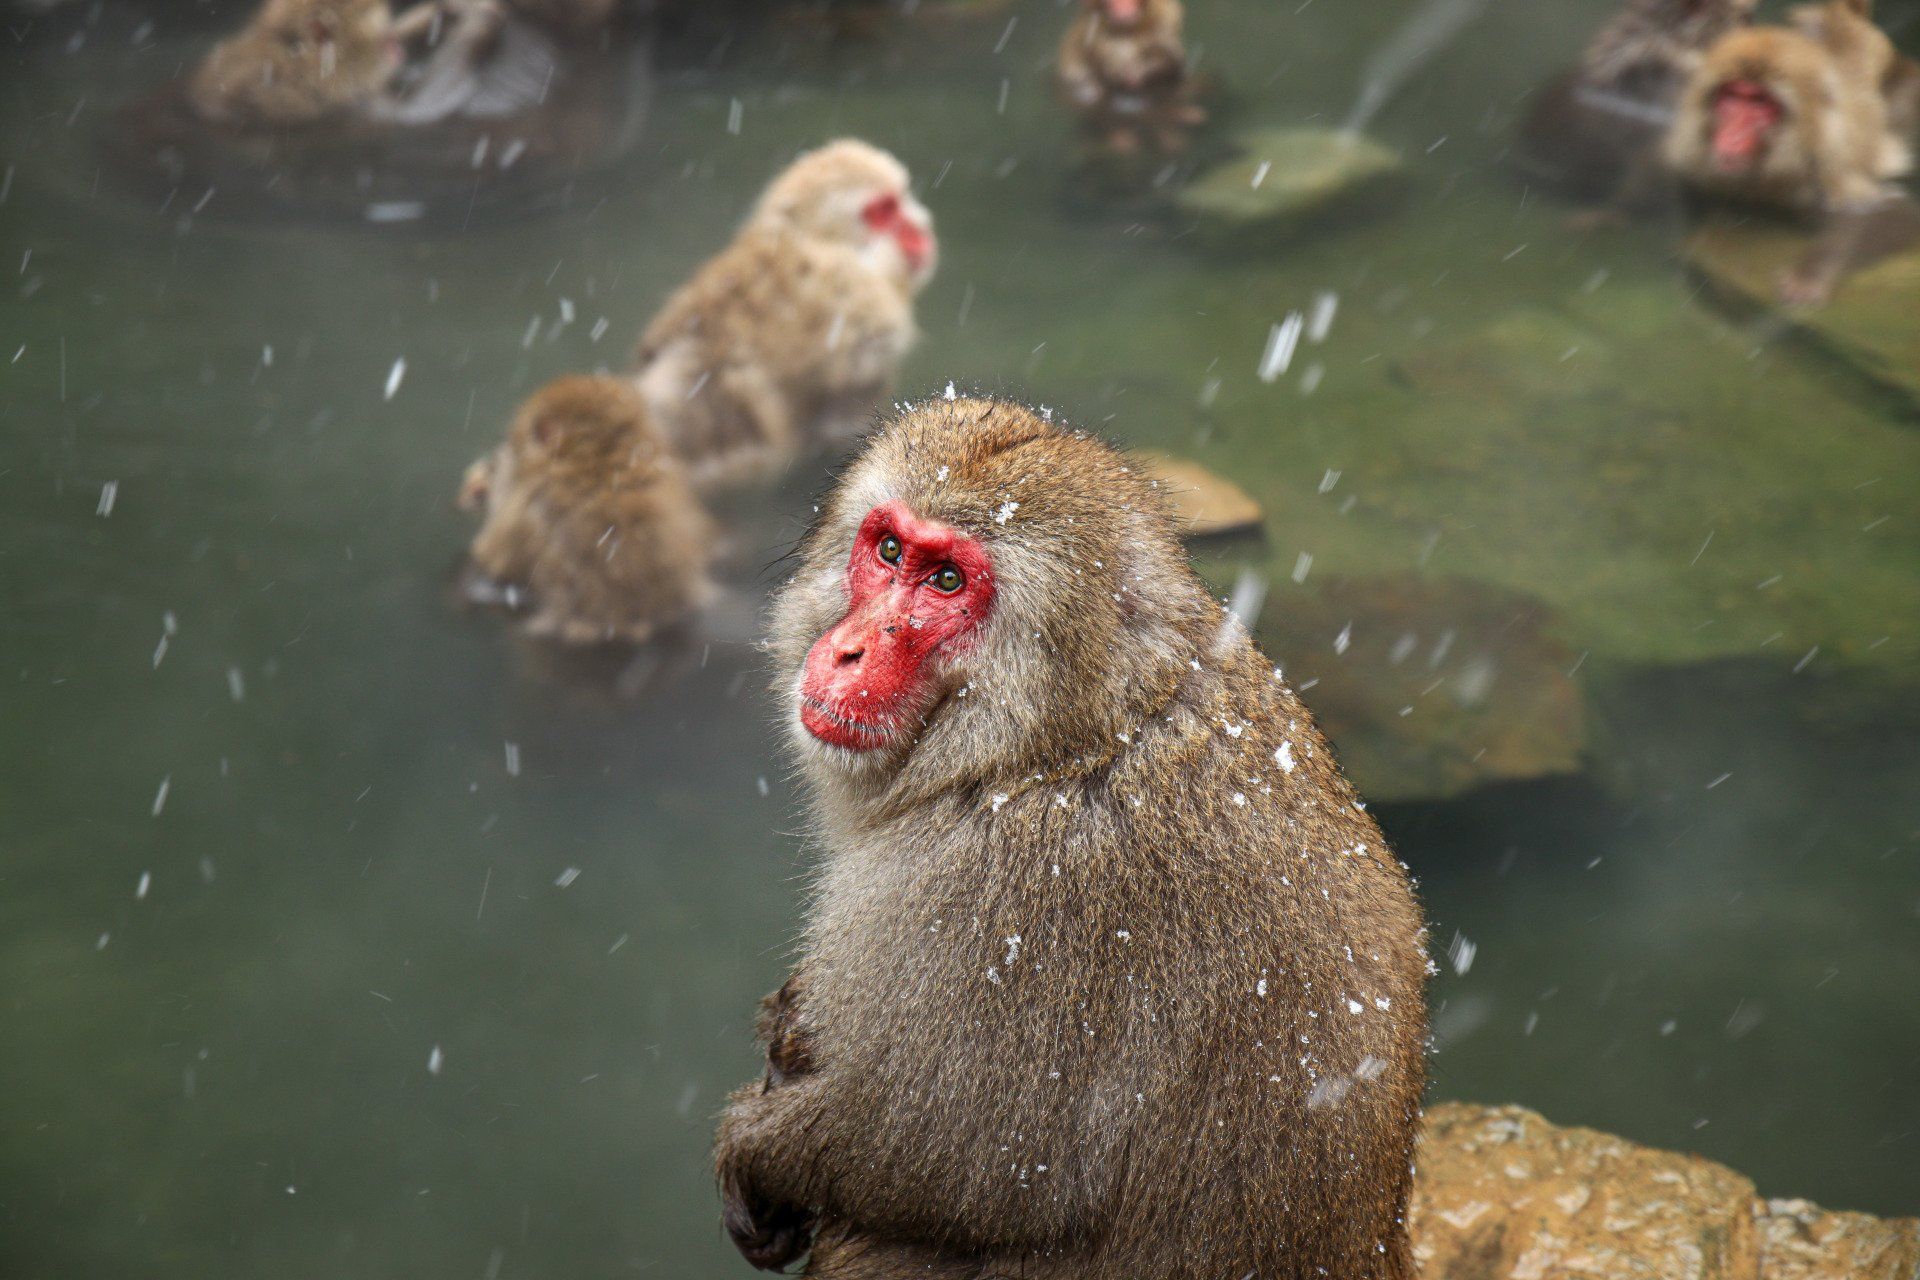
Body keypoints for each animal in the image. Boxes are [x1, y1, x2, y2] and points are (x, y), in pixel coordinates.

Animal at [718, 401, 1428, 1280]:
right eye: (889, 552)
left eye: (947, 582)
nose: (848, 650)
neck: (1066, 739)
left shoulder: (1009, 896)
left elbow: (954, 1156)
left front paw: (751, 1149)